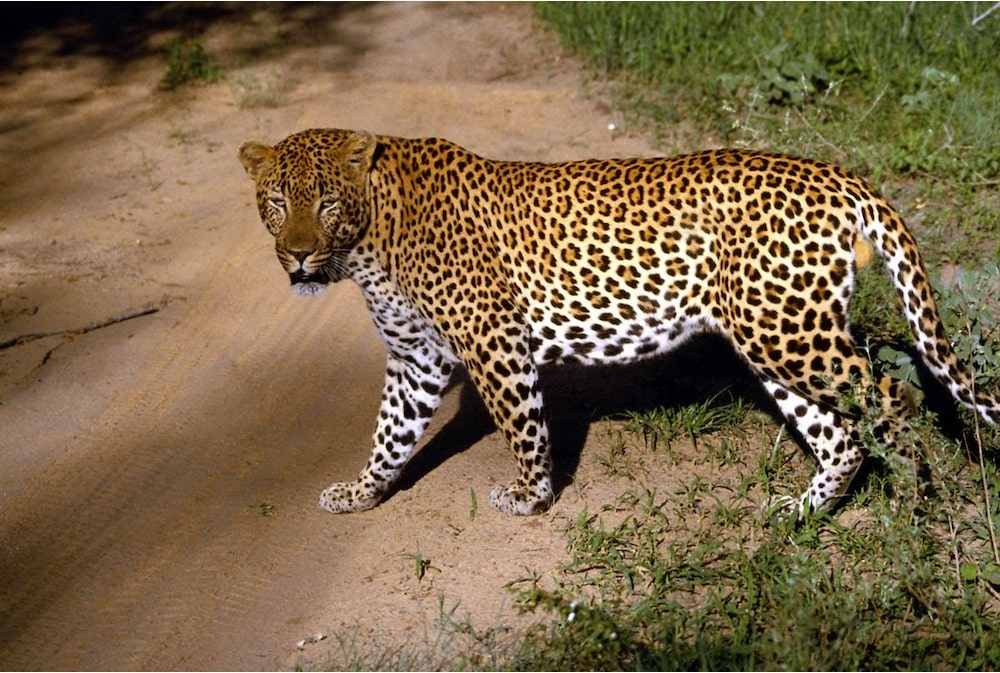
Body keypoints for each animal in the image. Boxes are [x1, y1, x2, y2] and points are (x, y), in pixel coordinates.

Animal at [238, 128, 1000, 517]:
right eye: (276, 202)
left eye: (327, 202)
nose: (298, 254)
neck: (371, 243)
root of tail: (836, 175)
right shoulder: (415, 359)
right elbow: (390, 433)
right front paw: (362, 491)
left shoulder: (493, 341)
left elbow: (522, 425)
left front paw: (531, 495)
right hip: (778, 331)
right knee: (840, 433)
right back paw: (800, 513)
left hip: (787, 334)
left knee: (893, 397)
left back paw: (914, 501)